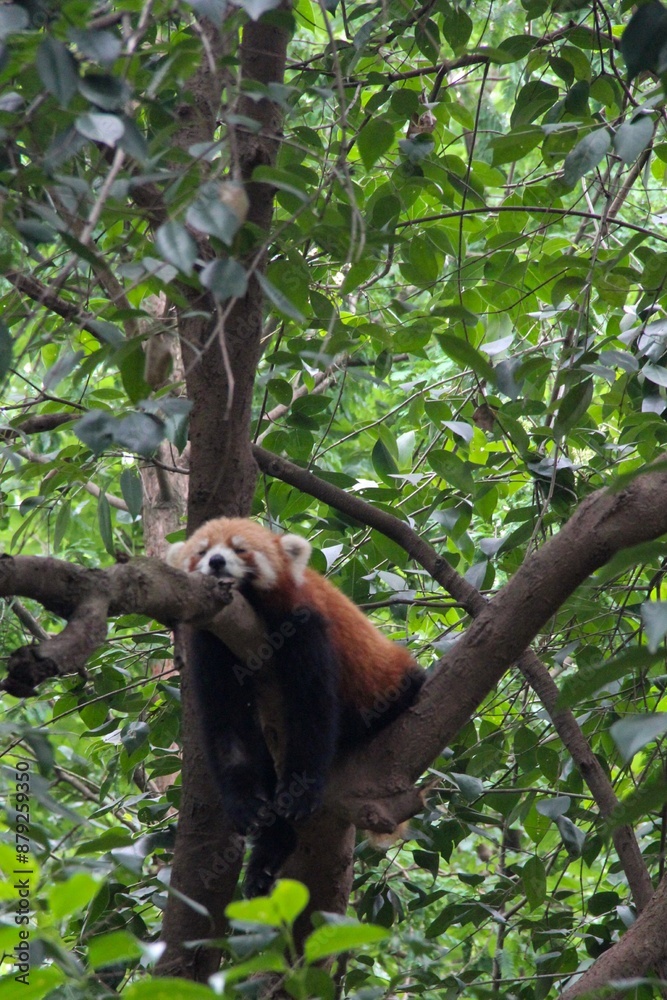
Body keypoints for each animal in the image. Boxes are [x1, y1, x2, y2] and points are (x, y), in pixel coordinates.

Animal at [167, 517, 424, 897]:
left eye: (240, 549)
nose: (216, 561)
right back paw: (267, 859)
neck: (247, 616)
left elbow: (313, 713)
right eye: (201, 551)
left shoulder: (303, 626)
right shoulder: (213, 644)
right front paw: (244, 803)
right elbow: (227, 725)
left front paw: (299, 791)